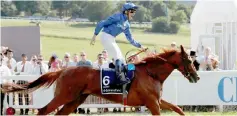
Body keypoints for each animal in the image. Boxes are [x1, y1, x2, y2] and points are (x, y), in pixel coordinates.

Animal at [2, 44, 200, 114]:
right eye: (189, 60)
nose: (196, 76)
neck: (151, 72)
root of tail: (64, 70)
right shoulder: (152, 102)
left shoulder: (156, 100)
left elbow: (177, 108)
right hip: (64, 96)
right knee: (43, 110)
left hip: (75, 100)